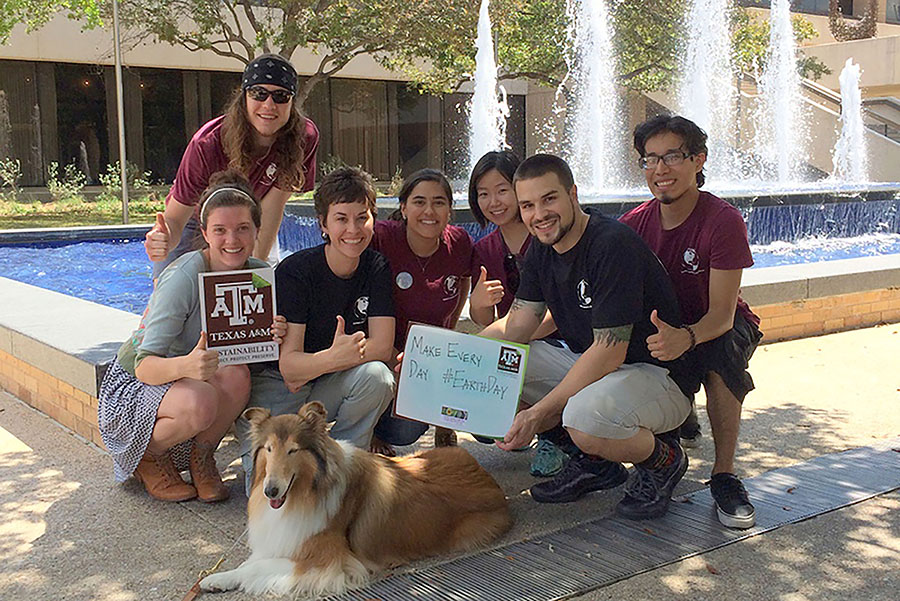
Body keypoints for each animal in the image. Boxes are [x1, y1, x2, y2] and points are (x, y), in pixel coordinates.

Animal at [202, 400, 512, 592]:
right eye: (268, 449)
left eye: (292, 450)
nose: (270, 491)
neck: (307, 491)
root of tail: (488, 478)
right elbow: (249, 563)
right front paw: (217, 579)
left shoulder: (327, 561)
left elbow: (259, 566)